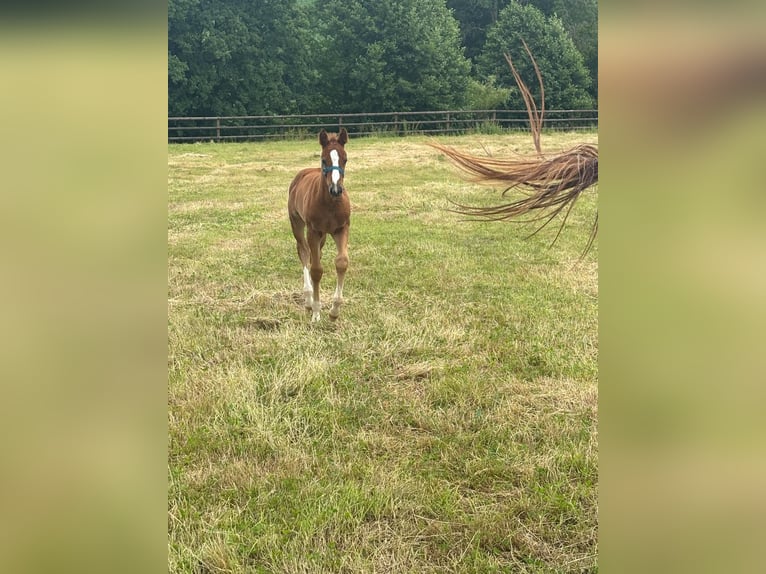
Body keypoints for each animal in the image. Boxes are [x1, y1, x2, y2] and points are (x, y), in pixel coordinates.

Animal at [288, 128, 350, 322]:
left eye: (345, 159)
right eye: (324, 160)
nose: (336, 189)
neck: (330, 204)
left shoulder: (341, 229)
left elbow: (342, 262)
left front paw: (334, 310)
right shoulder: (313, 231)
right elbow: (316, 270)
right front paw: (316, 311)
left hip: (323, 235)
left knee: (316, 254)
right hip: (298, 224)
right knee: (304, 253)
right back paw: (308, 299)